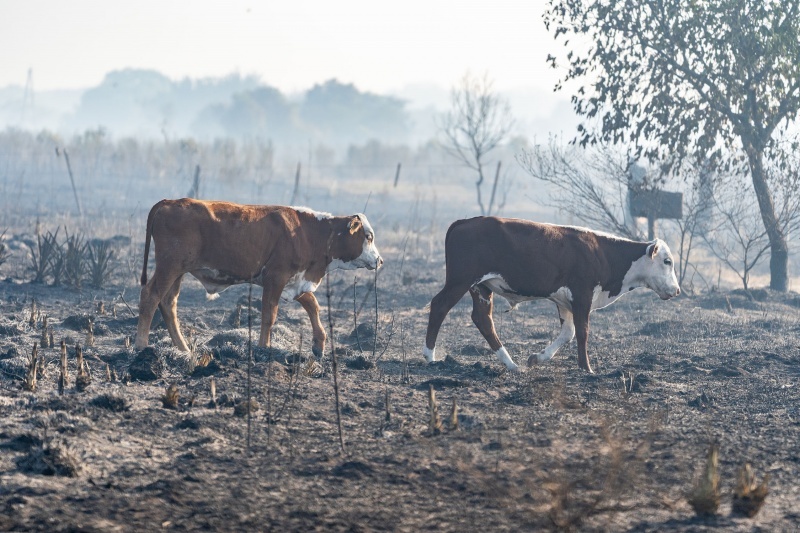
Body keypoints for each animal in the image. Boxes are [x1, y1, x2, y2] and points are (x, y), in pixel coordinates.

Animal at [135, 197, 384, 356]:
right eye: (368, 236)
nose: (380, 261)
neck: (310, 233)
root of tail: (169, 201)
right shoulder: (275, 277)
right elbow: (269, 315)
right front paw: (264, 347)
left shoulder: (294, 280)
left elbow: (312, 305)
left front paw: (319, 345)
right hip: (169, 266)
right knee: (150, 296)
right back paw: (141, 345)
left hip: (178, 271)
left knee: (168, 303)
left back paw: (183, 349)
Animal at [422, 214, 680, 372]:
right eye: (667, 261)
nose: (677, 290)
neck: (603, 253)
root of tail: (466, 221)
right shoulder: (582, 295)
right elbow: (583, 332)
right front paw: (586, 368)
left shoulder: (564, 300)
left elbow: (568, 333)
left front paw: (537, 357)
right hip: (460, 280)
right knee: (440, 306)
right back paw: (430, 356)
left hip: (482, 287)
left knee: (482, 319)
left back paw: (511, 364)